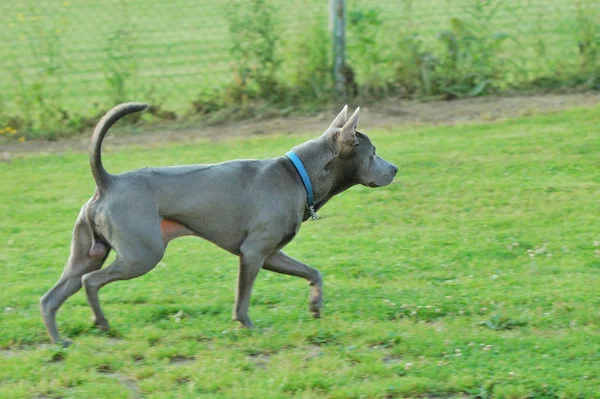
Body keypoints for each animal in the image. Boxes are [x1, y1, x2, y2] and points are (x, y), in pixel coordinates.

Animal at [39, 103, 396, 346]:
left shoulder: (271, 255)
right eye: (374, 151)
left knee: (53, 296)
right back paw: (101, 322)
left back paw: (60, 341)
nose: (394, 169)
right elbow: (243, 298)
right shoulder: (253, 253)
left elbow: (313, 272)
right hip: (142, 254)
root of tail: (107, 182)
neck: (299, 174)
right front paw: (248, 325)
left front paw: (315, 307)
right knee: (91, 282)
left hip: (87, 253)